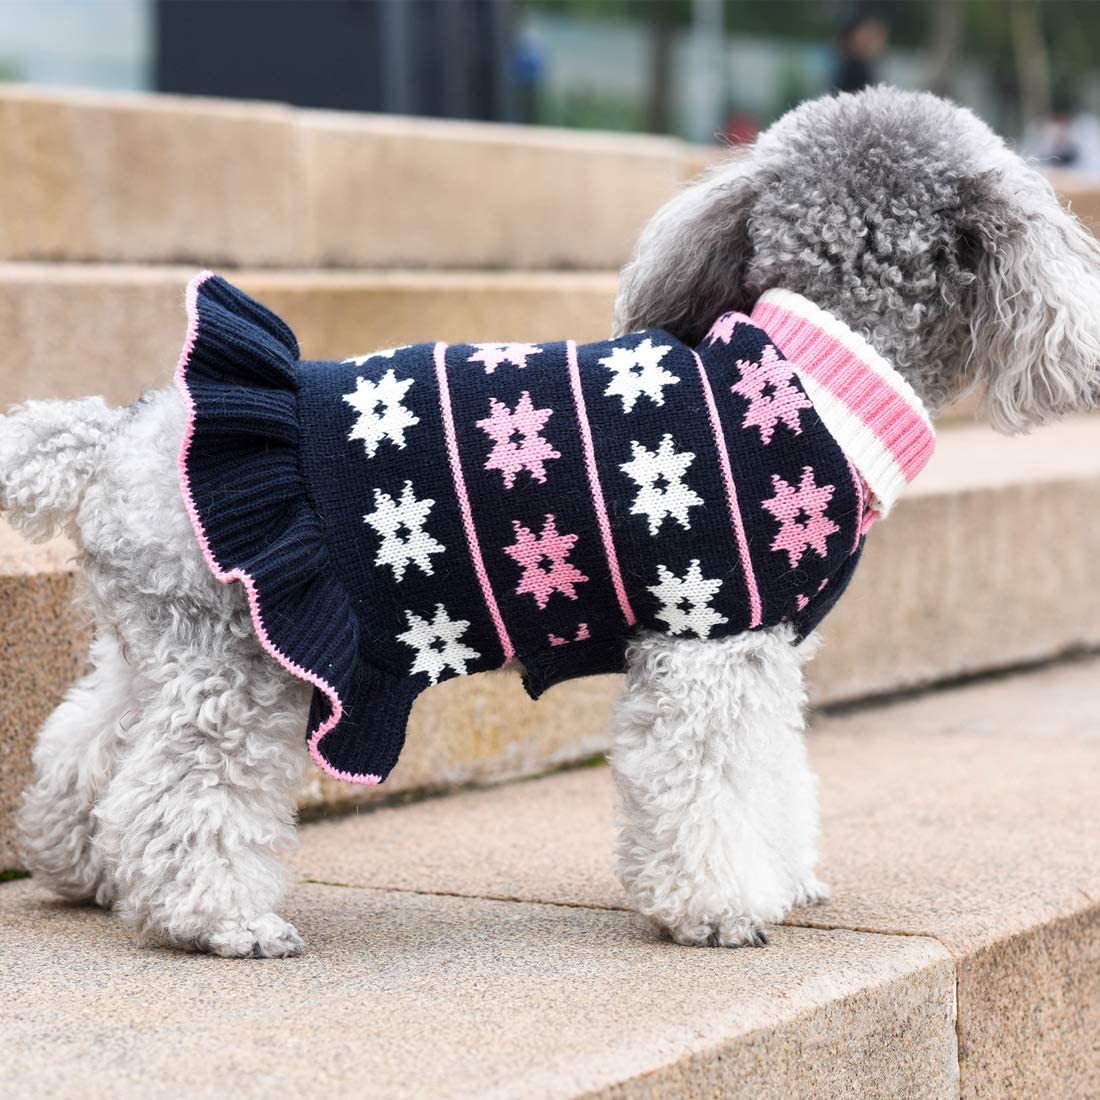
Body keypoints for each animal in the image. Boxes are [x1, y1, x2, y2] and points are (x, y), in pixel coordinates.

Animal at [6, 90, 1100, 959]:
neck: (819, 373)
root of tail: (115, 439)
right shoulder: (708, 634)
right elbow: (707, 779)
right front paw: (716, 909)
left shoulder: (763, 647)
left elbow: (773, 770)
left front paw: (783, 876)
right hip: (242, 655)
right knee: (181, 783)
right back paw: (215, 921)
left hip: (159, 643)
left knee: (86, 751)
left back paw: (81, 870)